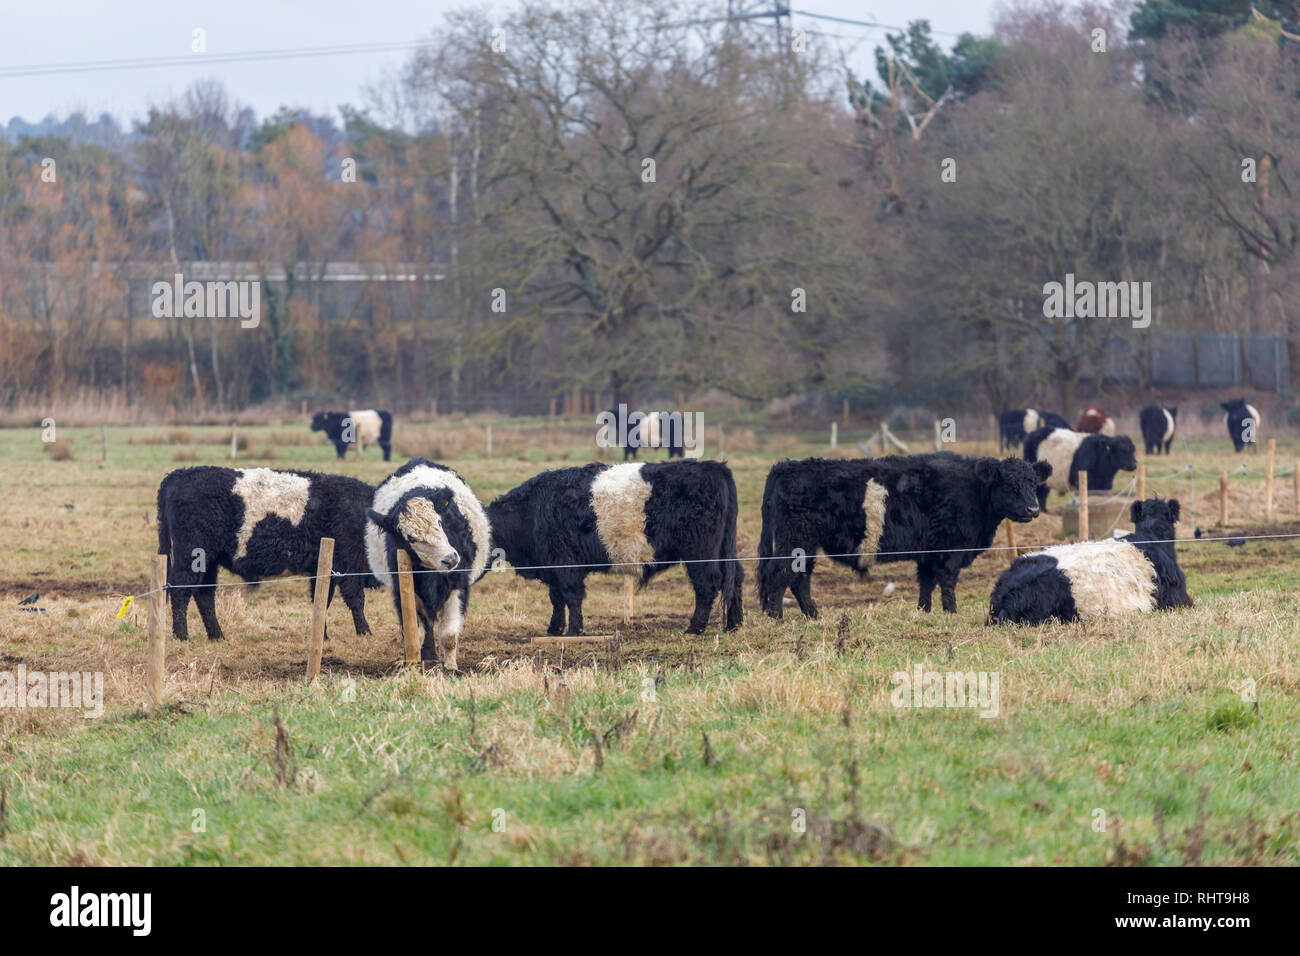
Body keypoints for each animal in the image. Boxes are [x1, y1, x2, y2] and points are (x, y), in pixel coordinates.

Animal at [156, 465, 379, 639]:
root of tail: (180, 474)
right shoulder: (347, 560)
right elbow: (355, 596)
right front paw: (365, 632)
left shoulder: (324, 567)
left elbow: (322, 599)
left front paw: (322, 635)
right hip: (191, 554)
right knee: (180, 590)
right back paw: (181, 636)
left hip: (208, 560)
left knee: (204, 594)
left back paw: (217, 636)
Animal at [364, 460, 488, 671]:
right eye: (411, 538)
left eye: (439, 521)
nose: (451, 558)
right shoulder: (404, 591)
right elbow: (416, 632)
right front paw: (415, 663)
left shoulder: (459, 586)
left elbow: (449, 635)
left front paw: (451, 668)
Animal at [483, 463, 743, 634]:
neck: (533, 511)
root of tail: (714, 467)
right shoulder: (552, 567)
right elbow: (556, 598)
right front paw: (554, 629)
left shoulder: (566, 564)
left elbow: (571, 596)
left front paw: (573, 631)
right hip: (722, 548)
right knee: (735, 576)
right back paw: (734, 624)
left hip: (700, 551)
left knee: (707, 583)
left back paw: (694, 628)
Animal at [759, 452, 1050, 616]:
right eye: (1009, 484)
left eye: (1033, 483)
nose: (1033, 509)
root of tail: (786, 466)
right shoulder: (950, 549)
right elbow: (947, 582)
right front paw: (951, 612)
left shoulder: (929, 552)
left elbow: (926, 582)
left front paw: (924, 611)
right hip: (795, 539)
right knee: (780, 572)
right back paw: (776, 617)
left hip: (805, 544)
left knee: (800, 577)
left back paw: (812, 615)